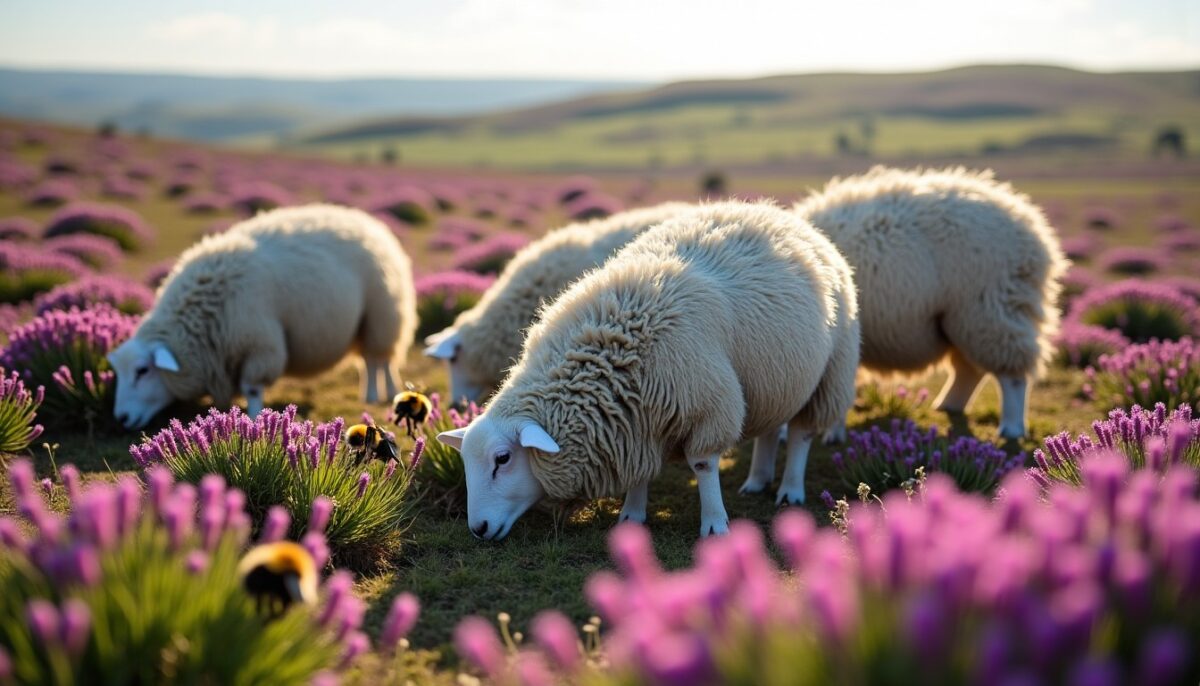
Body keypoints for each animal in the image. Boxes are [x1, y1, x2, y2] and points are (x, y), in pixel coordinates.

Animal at [108, 204, 416, 429]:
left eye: (142, 370)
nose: (121, 418)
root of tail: (371, 222)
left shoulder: (259, 344)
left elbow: (252, 388)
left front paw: (254, 419)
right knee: (376, 360)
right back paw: (381, 392)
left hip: (382, 314)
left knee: (378, 361)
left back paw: (377, 394)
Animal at [794, 166, 1067, 440]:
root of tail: (1033, 232)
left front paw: (830, 432)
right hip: (963, 319)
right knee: (968, 369)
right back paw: (949, 405)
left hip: (990, 308)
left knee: (1011, 374)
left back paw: (1011, 427)